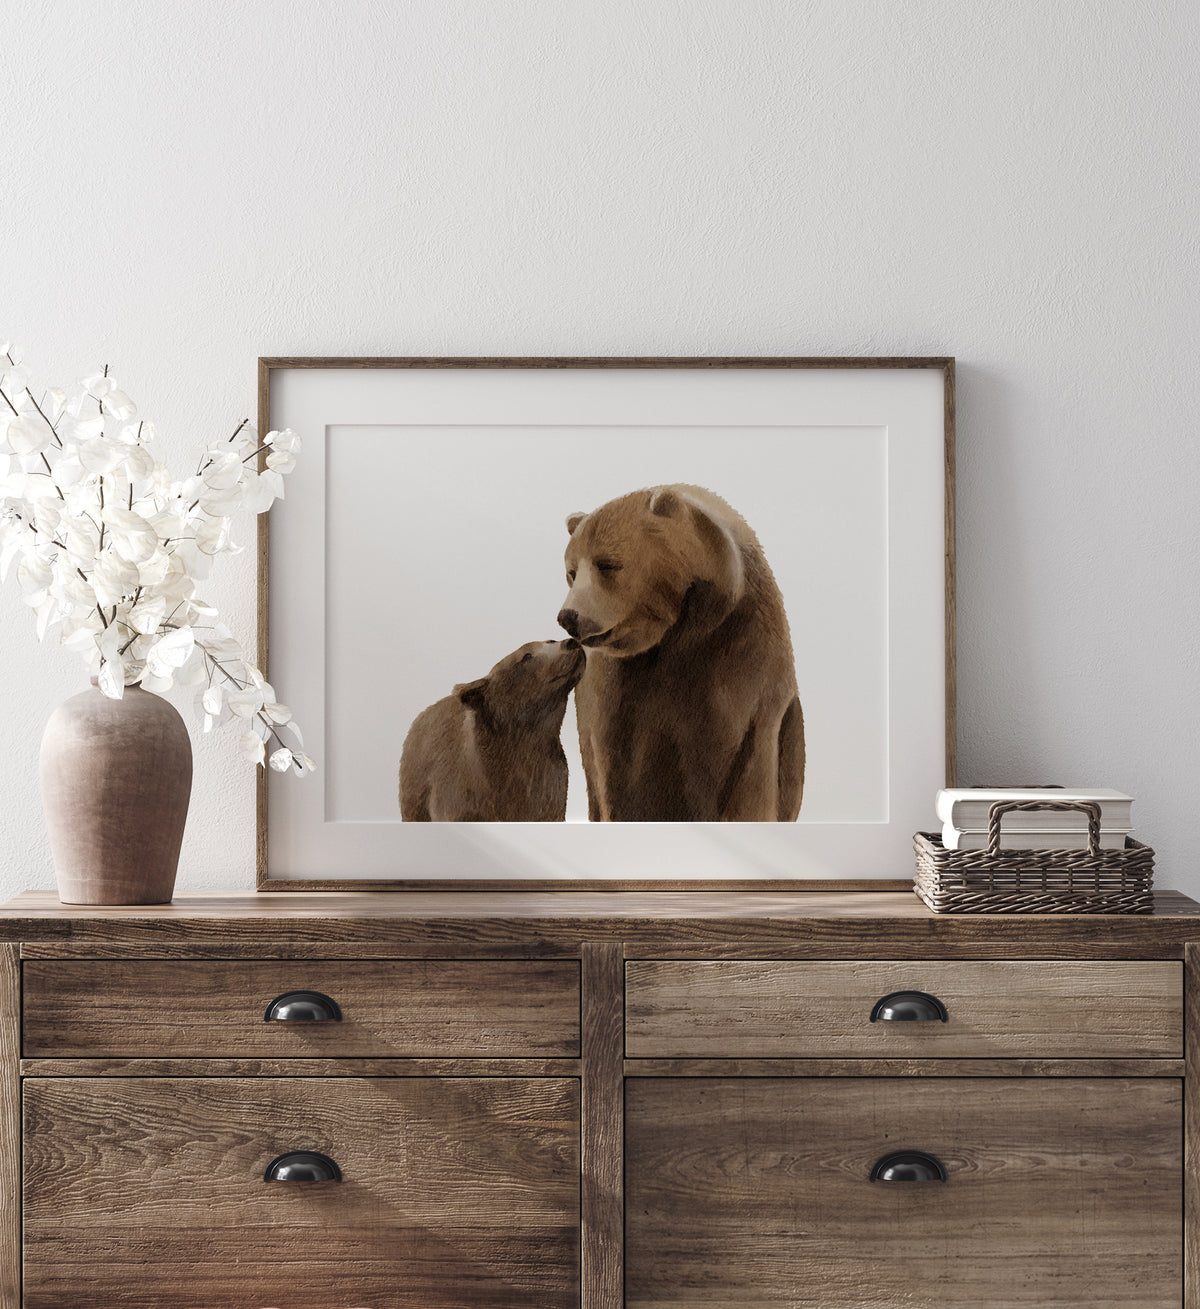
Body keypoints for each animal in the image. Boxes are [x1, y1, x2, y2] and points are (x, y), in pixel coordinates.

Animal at [556, 484, 804, 822]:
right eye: (571, 571)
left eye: (606, 564)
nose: (569, 616)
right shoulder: (617, 683)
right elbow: (615, 765)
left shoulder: (740, 654)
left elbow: (747, 771)